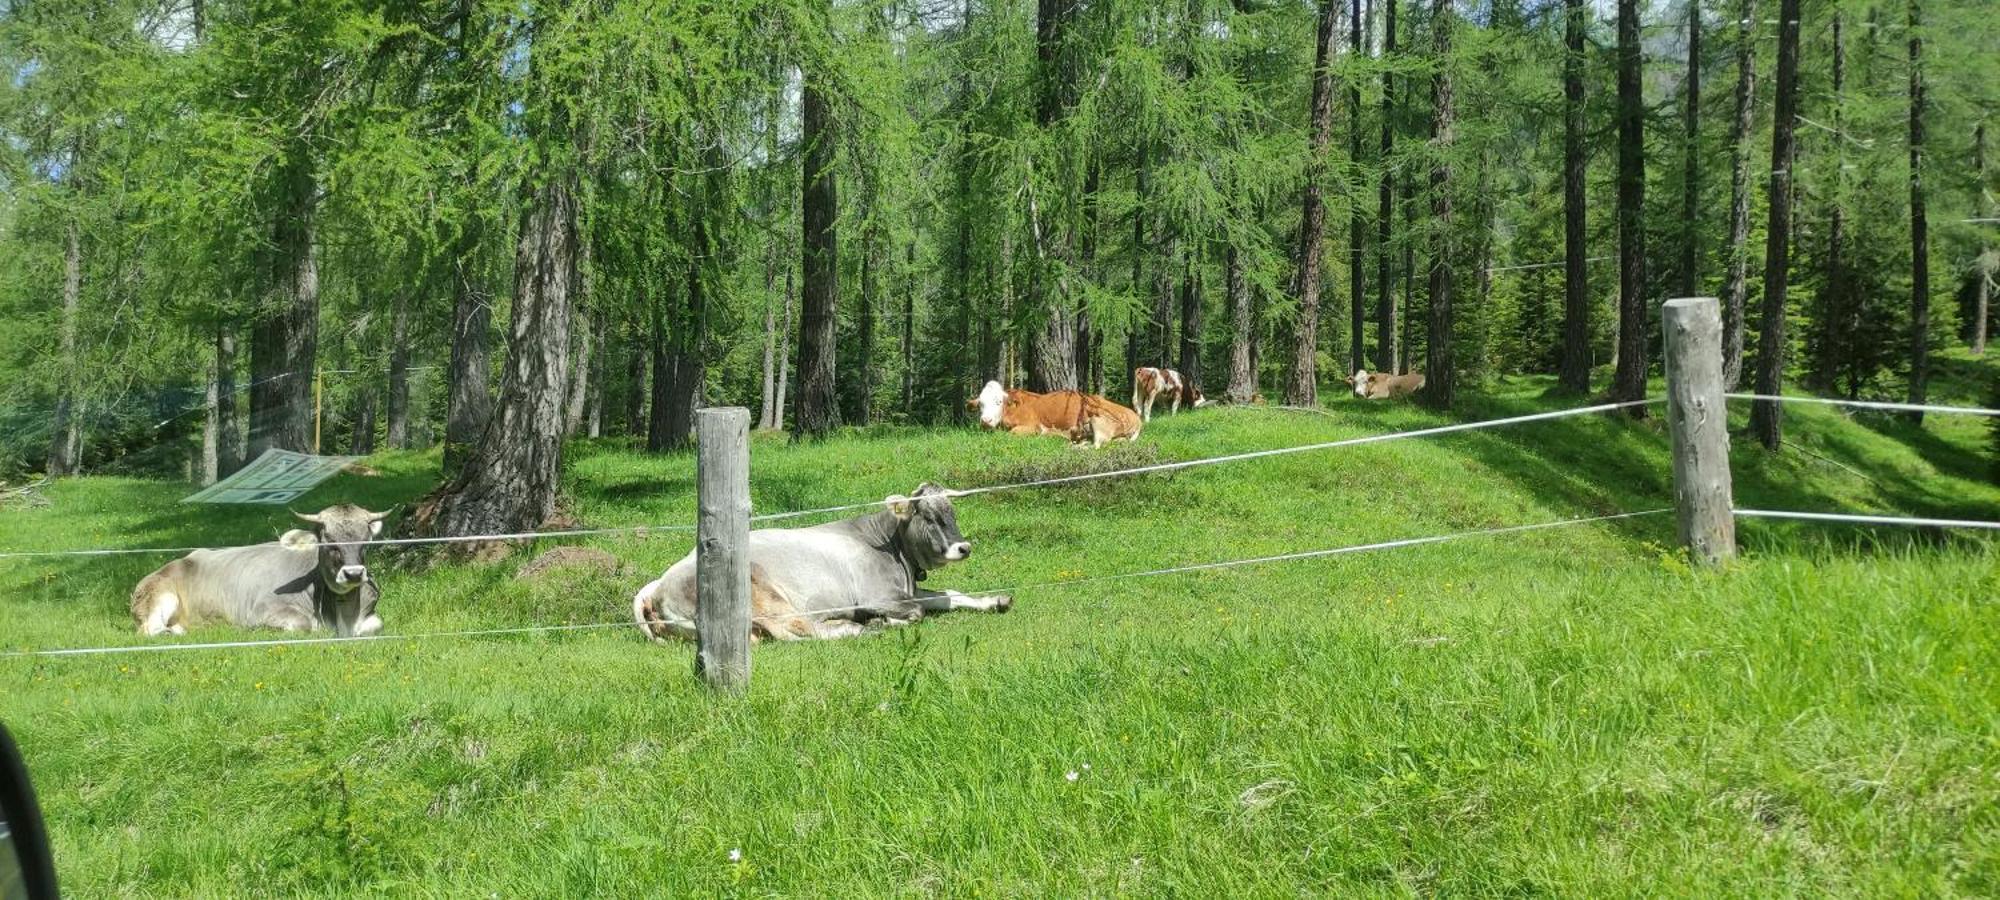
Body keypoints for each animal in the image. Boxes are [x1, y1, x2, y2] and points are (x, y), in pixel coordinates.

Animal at [632, 482, 1008, 644]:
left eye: (952, 512)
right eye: (928, 516)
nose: (963, 547)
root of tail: (659, 584)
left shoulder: (906, 590)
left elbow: (948, 594)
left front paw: (996, 600)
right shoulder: (879, 595)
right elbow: (917, 612)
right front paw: (882, 619)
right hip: (764, 598)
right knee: (797, 631)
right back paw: (860, 627)